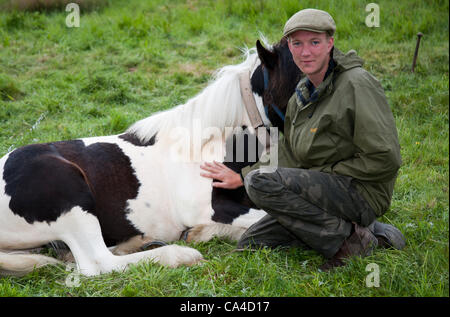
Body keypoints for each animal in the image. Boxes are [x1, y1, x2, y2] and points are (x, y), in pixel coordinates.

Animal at [0, 37, 302, 276]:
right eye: (299, 74)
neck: (206, 146)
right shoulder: (210, 207)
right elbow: (261, 219)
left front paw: (199, 233)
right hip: (73, 199)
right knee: (97, 262)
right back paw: (179, 255)